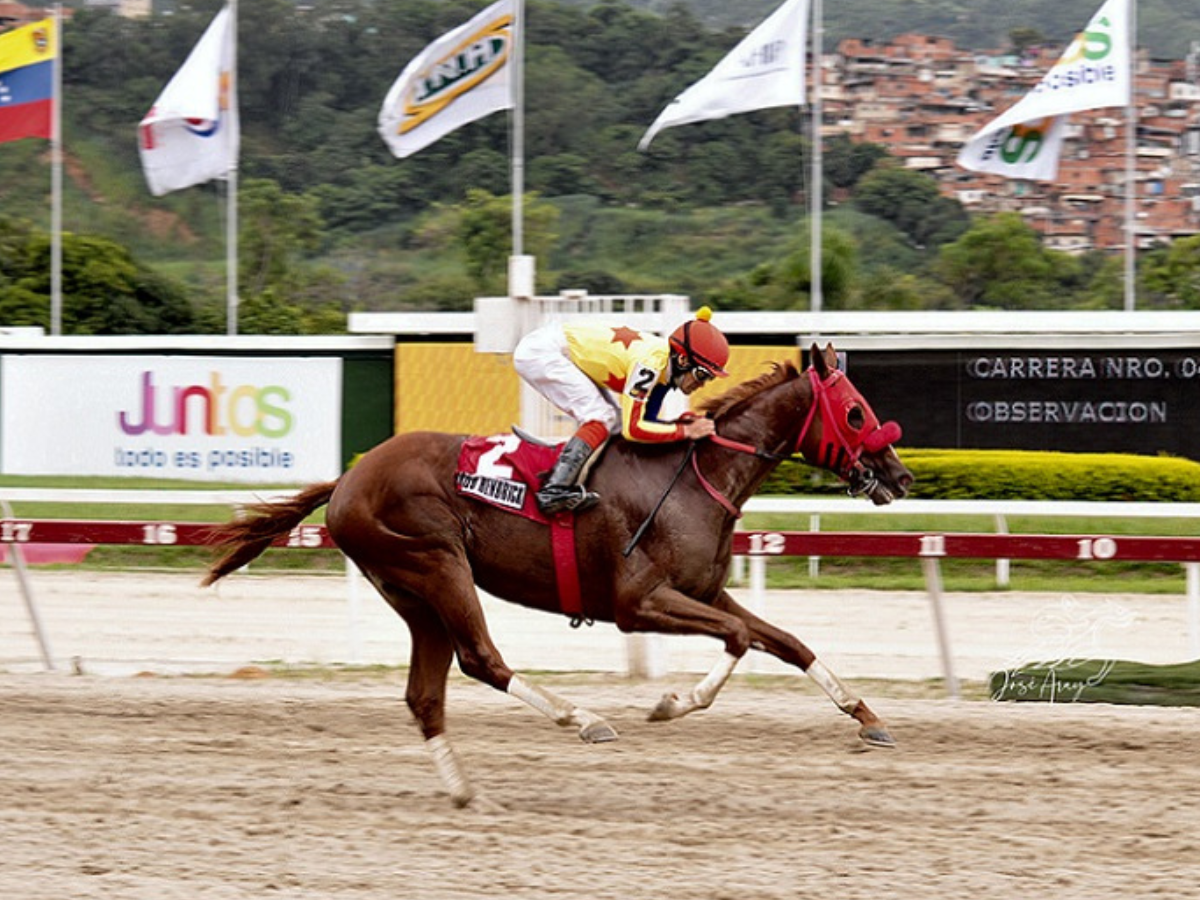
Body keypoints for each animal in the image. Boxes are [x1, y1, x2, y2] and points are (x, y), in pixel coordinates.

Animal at [206, 345, 912, 811]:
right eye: (855, 412)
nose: (901, 477)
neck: (694, 476)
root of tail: (349, 477)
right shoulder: (638, 602)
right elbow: (739, 639)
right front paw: (671, 702)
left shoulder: (704, 591)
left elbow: (787, 642)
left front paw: (867, 716)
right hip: (438, 564)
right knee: (481, 660)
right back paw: (583, 718)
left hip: (411, 592)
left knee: (426, 694)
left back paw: (466, 791)